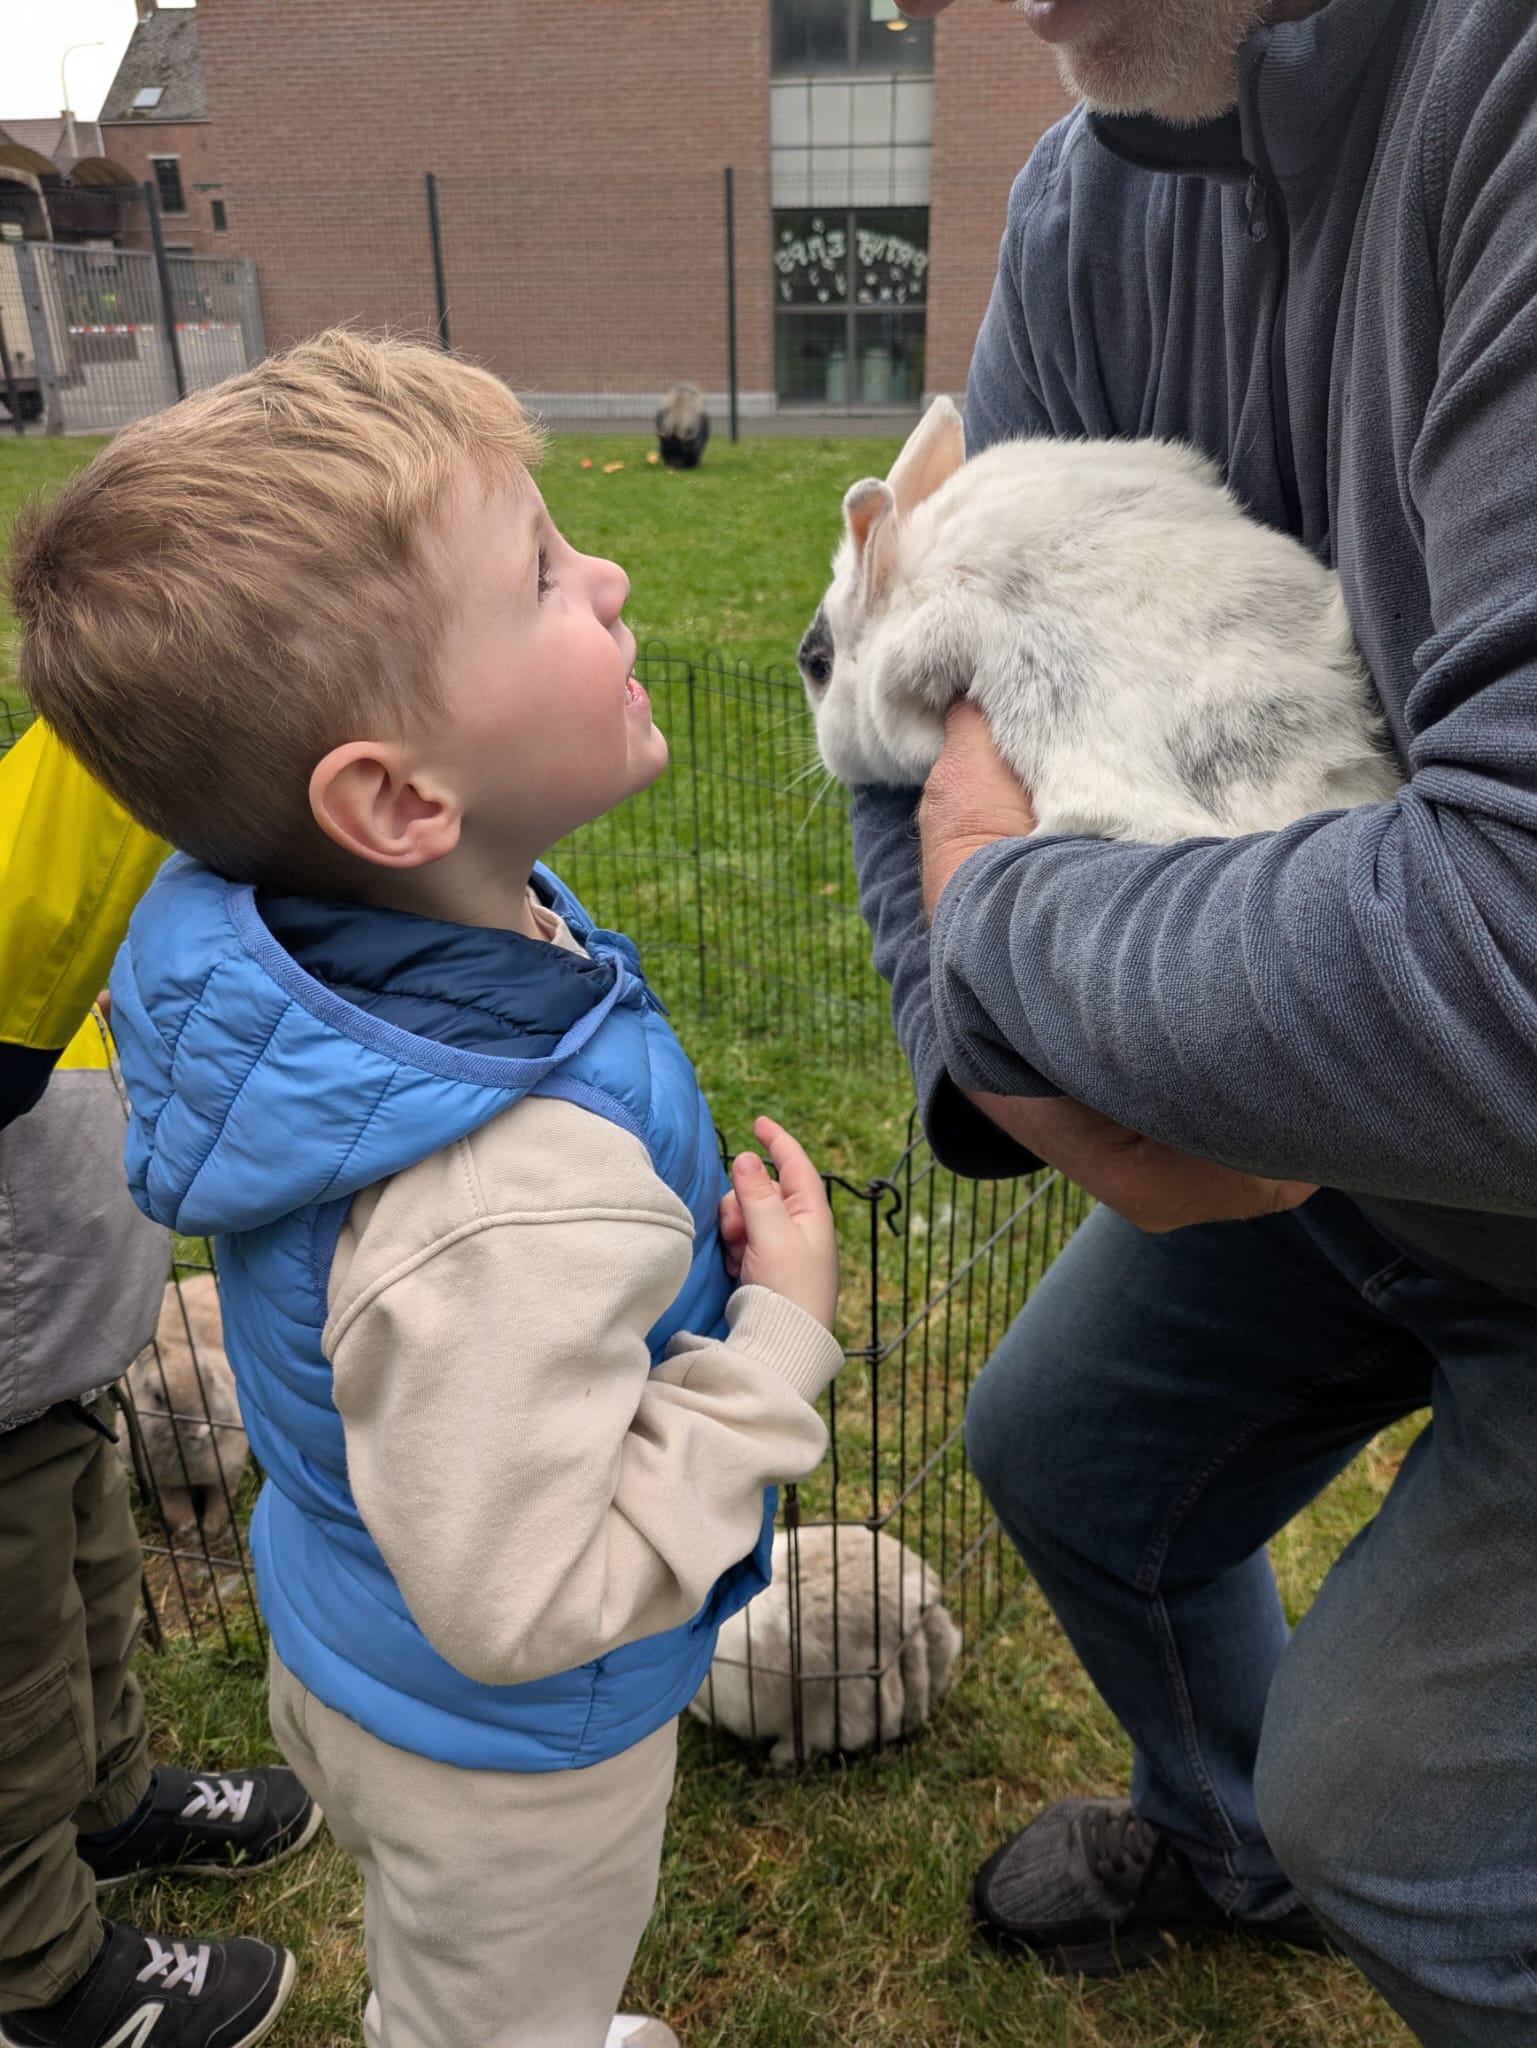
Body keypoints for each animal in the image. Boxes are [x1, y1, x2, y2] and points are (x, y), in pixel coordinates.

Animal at [123, 1273, 249, 1535]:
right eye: (158, 1397)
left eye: (210, 1380)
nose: (201, 1430)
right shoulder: (163, 1483)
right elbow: (174, 1505)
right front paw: (187, 1528)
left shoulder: (229, 1469)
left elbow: (220, 1497)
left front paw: (211, 1527)